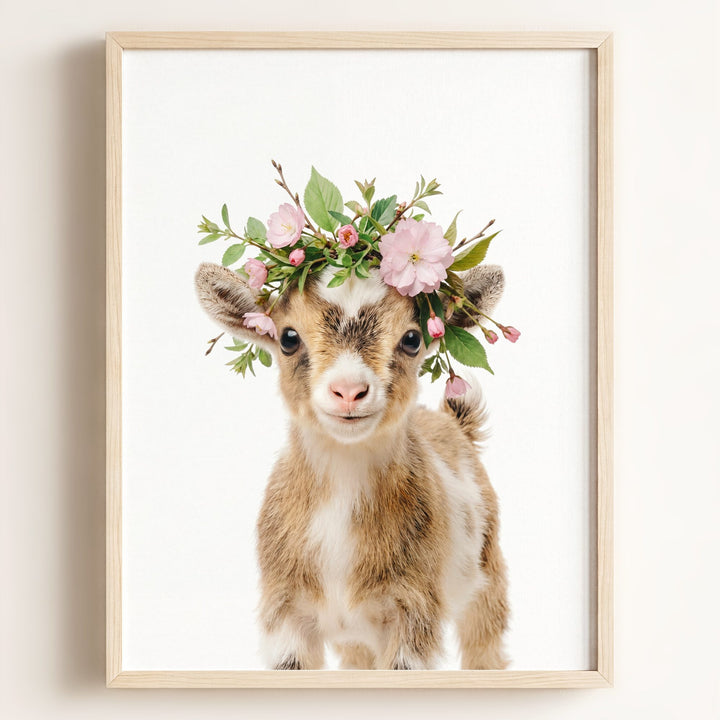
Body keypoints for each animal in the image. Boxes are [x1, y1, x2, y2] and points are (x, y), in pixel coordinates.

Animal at [195, 262, 509, 670]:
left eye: (412, 338)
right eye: (288, 338)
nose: (348, 391)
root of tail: (454, 424)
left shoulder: (413, 610)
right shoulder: (285, 614)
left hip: (487, 576)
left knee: (485, 644)